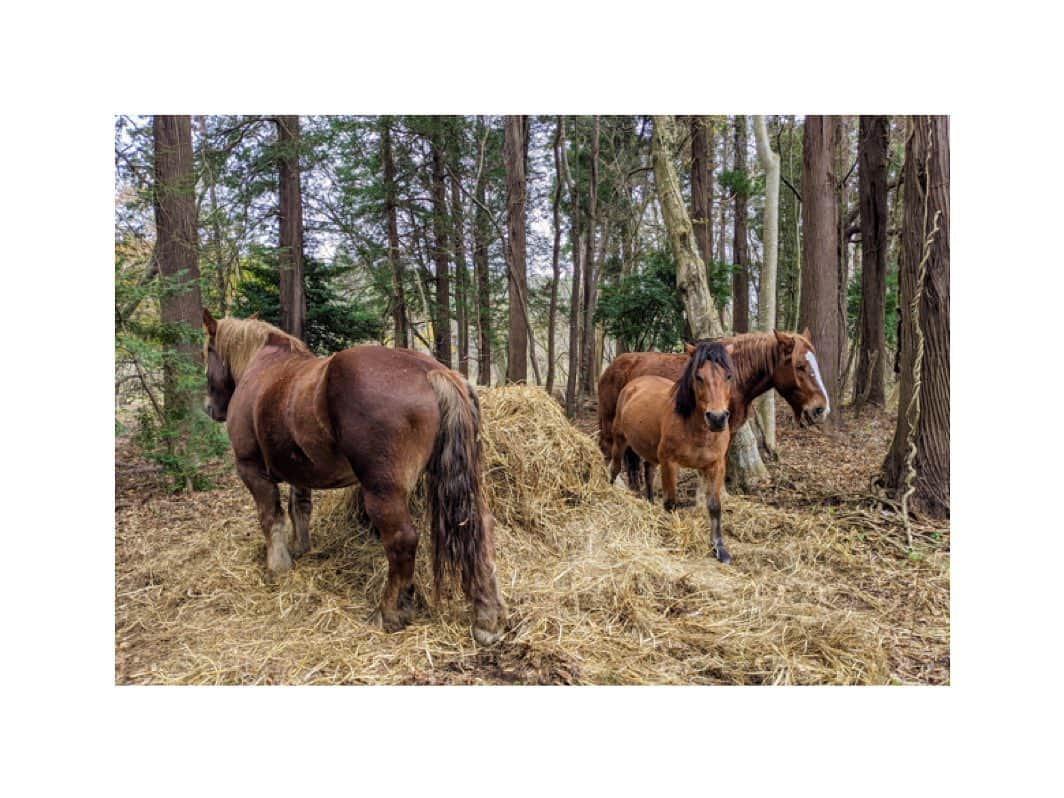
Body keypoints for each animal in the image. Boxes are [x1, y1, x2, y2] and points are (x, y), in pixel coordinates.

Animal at [205, 308, 512, 646]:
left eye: (208, 351)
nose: (210, 408)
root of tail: (429, 371)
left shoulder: (251, 469)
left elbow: (270, 516)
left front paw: (278, 565)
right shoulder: (299, 470)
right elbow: (299, 507)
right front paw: (300, 547)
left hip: (382, 492)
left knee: (401, 540)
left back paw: (389, 612)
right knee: (477, 527)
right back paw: (488, 616)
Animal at [600, 327, 829, 466]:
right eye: (800, 366)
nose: (821, 408)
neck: (734, 378)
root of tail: (612, 366)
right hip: (610, 421)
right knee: (607, 448)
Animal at [612, 342, 736, 561]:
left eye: (728, 375)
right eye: (698, 376)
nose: (717, 418)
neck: (696, 429)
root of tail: (633, 384)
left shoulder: (715, 466)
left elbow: (714, 506)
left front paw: (720, 549)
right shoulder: (670, 463)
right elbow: (670, 503)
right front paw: (673, 536)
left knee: (649, 472)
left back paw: (650, 502)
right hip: (619, 441)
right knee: (614, 467)